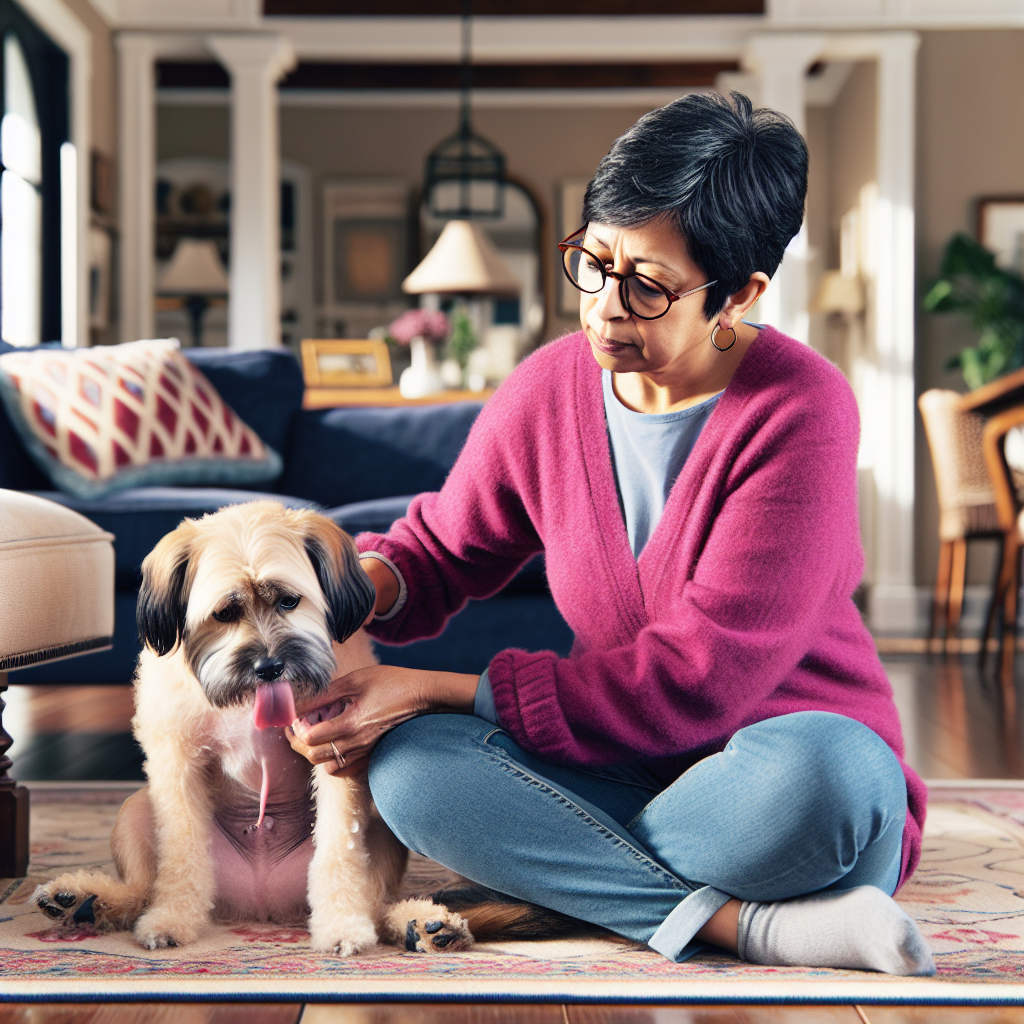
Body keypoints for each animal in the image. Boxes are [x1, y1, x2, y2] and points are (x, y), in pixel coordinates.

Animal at [30, 499, 479, 954]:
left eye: (289, 601)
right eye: (225, 613)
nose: (269, 666)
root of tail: (260, 908)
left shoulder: (337, 766)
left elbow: (338, 853)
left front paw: (342, 926)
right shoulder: (177, 762)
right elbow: (181, 852)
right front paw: (172, 919)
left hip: (380, 830)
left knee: (375, 903)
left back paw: (424, 925)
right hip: (136, 811)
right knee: (141, 891)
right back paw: (83, 900)